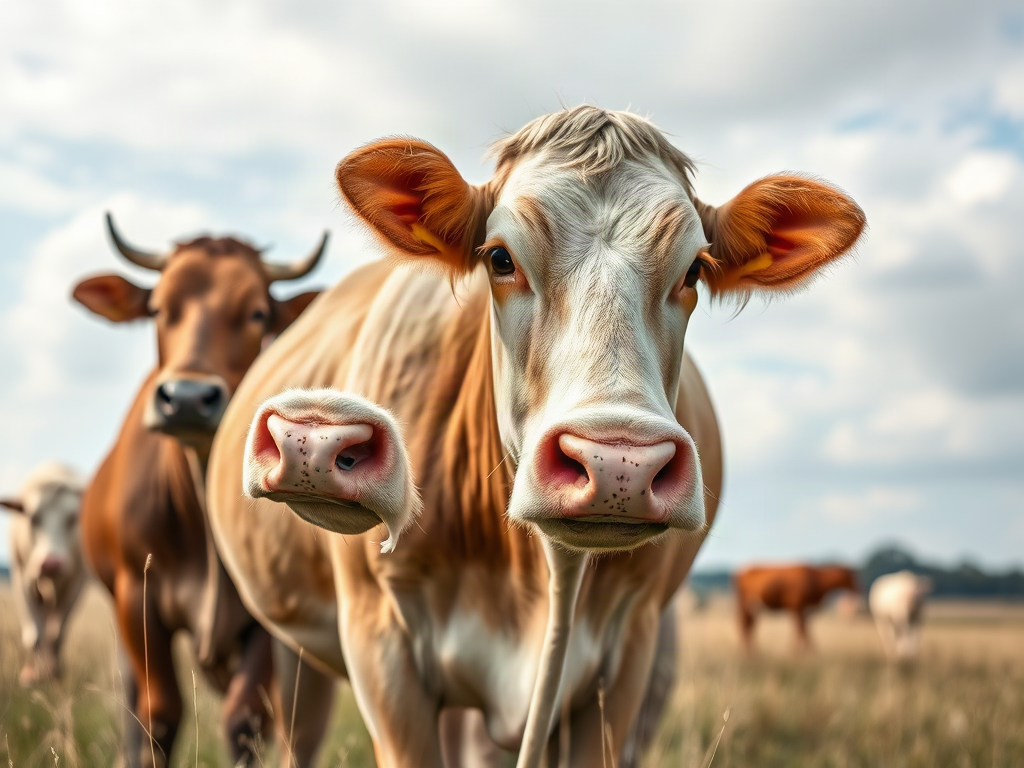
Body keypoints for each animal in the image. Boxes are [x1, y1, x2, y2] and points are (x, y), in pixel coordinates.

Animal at [1, 462, 87, 686]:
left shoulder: (76, 582)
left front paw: (55, 674)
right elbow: (34, 634)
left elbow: (57, 634)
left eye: (73, 518)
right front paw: (30, 675)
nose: (51, 563)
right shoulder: (21, 577)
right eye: (33, 518)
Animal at [71, 216, 332, 768]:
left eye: (258, 313)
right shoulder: (136, 597)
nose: (187, 398)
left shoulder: (265, 614)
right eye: (156, 309)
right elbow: (159, 714)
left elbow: (245, 718)